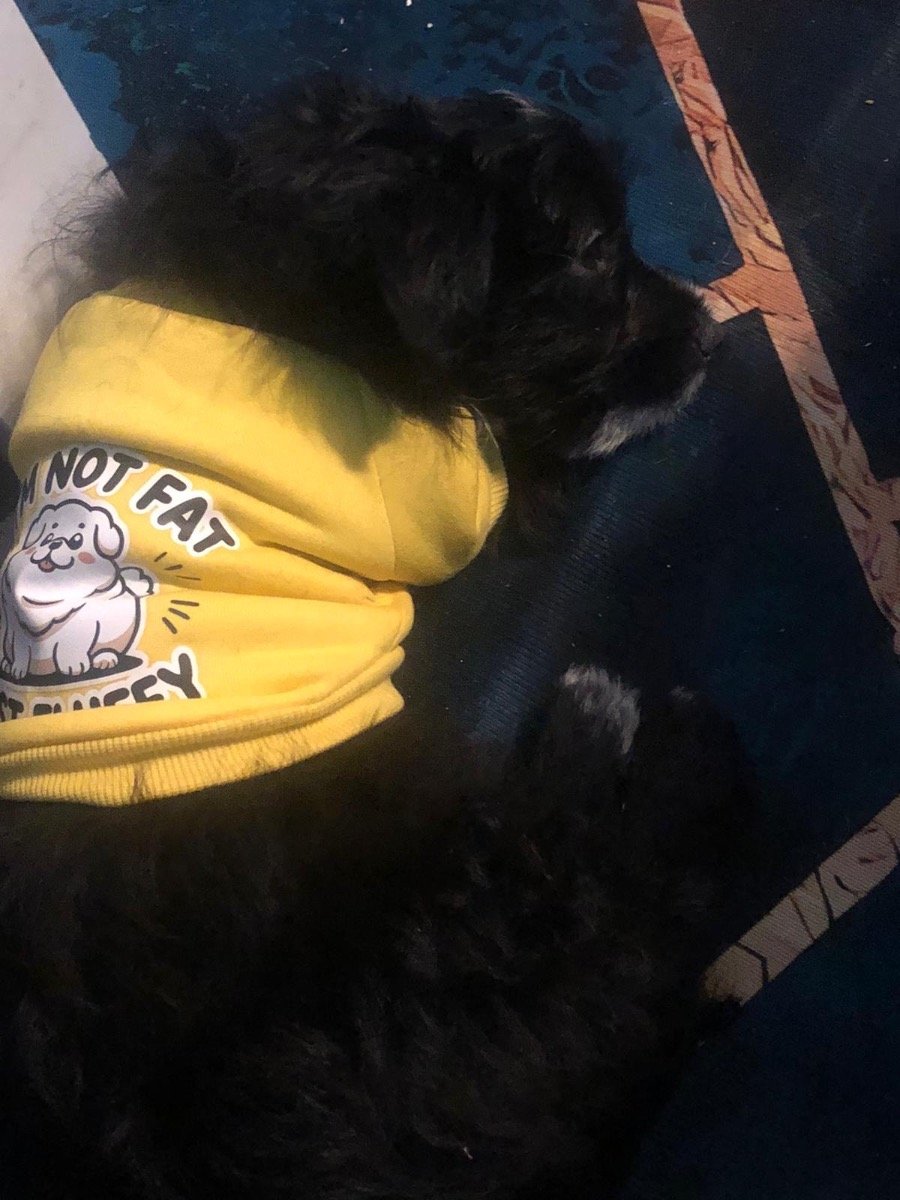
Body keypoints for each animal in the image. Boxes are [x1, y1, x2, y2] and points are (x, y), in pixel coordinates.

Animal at [0, 498, 153, 682]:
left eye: (76, 541)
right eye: (47, 538)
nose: (54, 543)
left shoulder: (82, 626)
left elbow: (71, 650)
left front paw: (74, 667)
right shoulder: (19, 631)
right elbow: (21, 652)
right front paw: (17, 670)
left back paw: (104, 659)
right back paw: (7, 664)